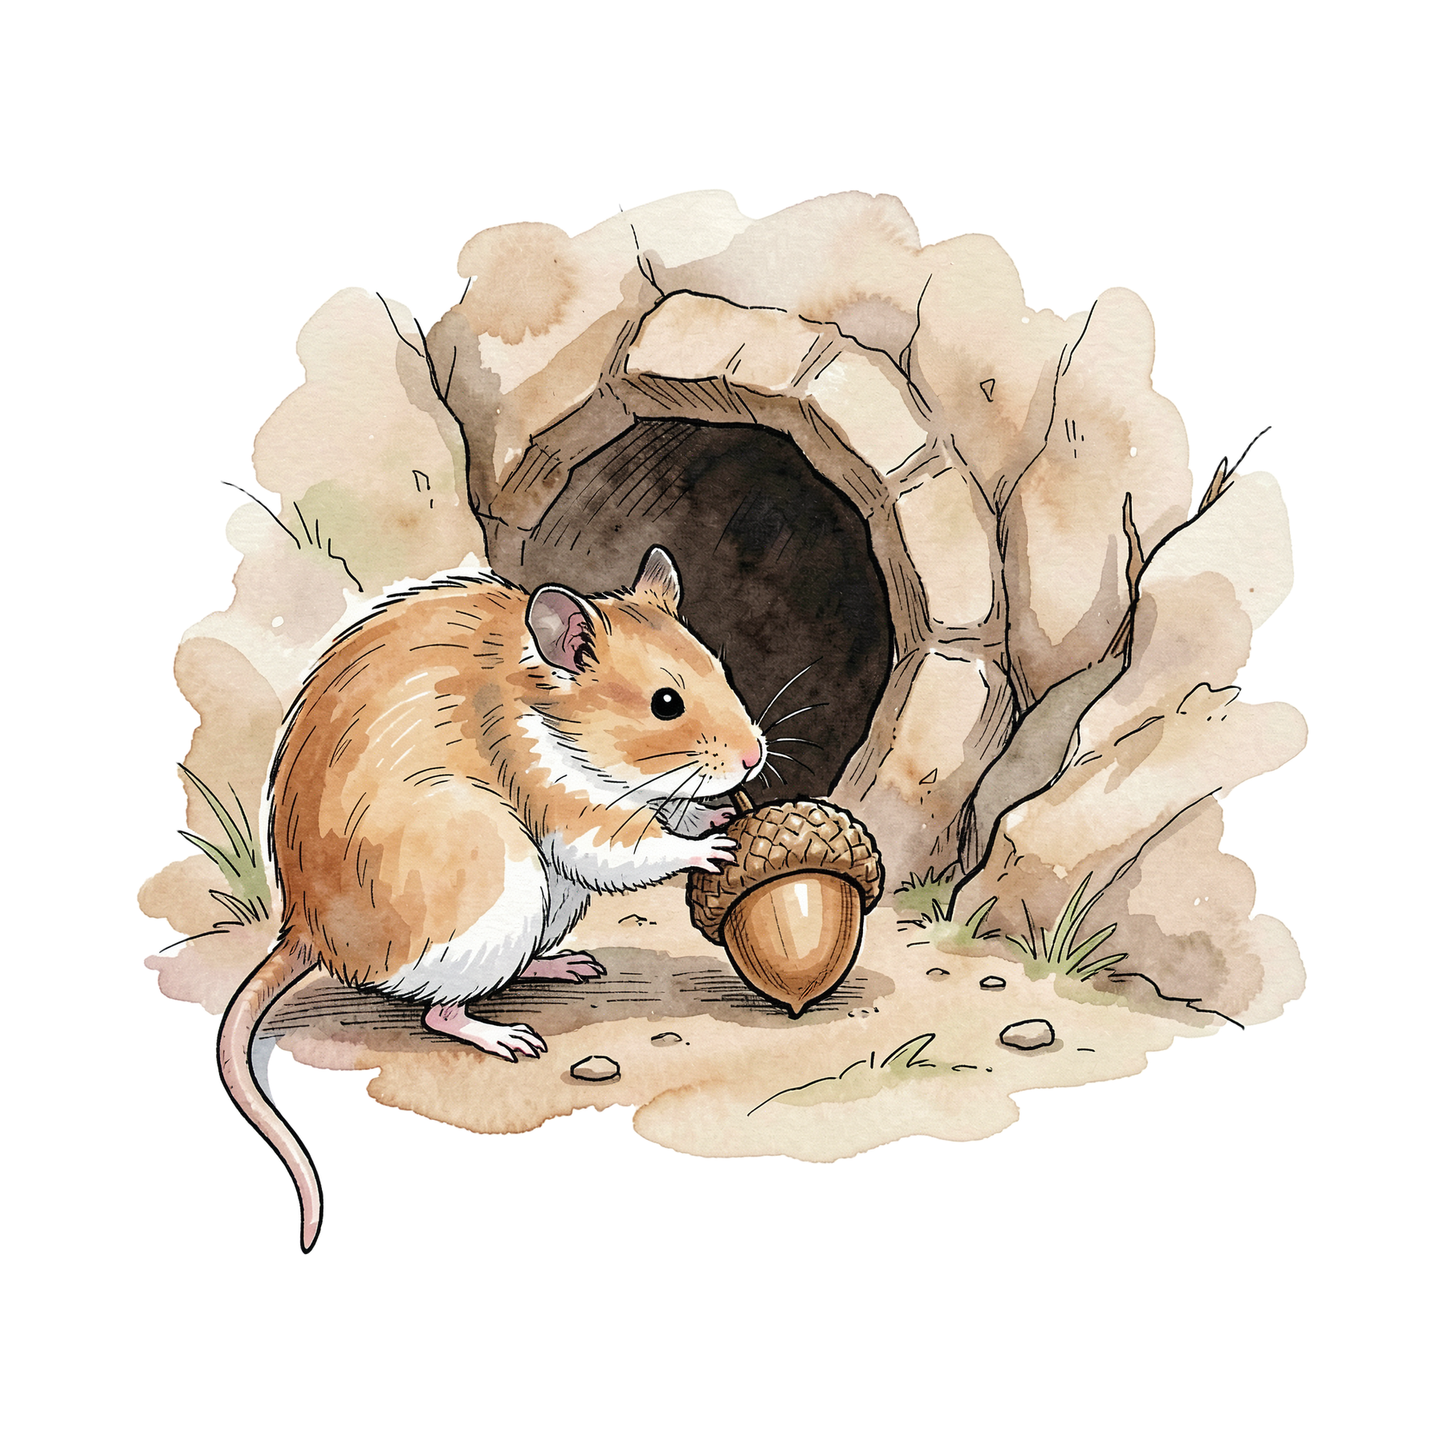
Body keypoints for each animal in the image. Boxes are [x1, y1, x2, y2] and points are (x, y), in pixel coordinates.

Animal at [217, 547, 765, 1251]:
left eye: (723, 673)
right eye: (665, 703)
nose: (754, 759)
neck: (544, 704)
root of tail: (305, 932)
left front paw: (717, 813)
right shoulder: (567, 806)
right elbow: (629, 849)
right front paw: (711, 847)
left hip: (550, 908)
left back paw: (566, 965)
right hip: (499, 885)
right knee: (438, 1013)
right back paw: (506, 1037)